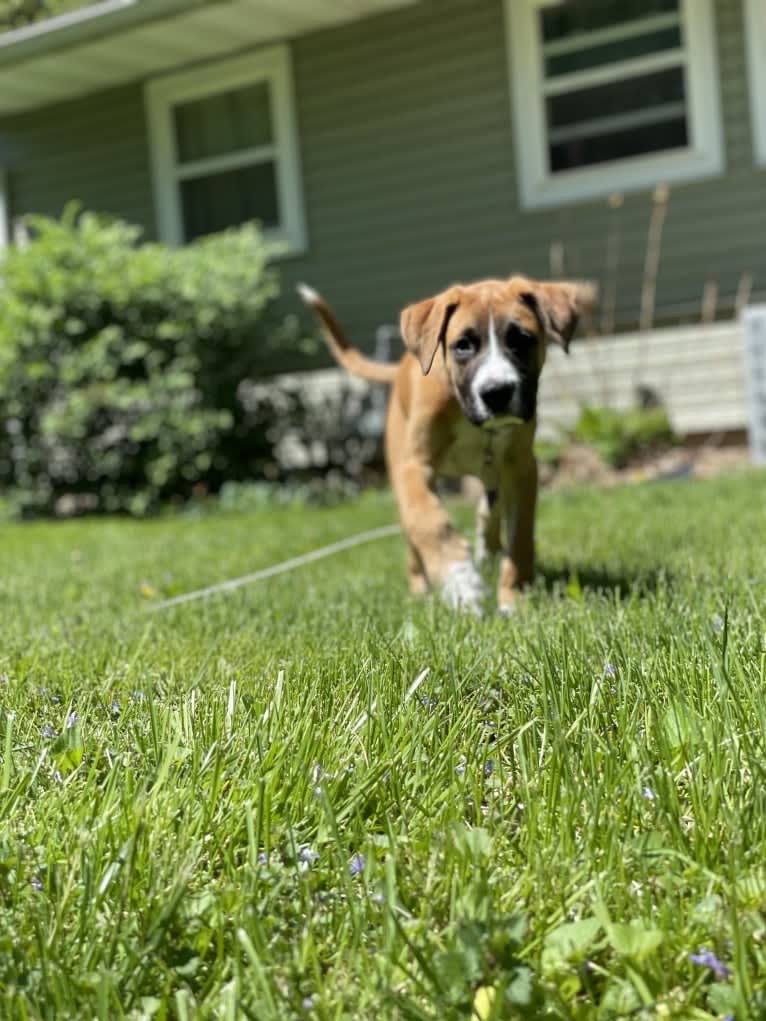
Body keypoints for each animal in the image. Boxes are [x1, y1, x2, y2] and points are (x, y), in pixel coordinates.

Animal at [296, 275, 596, 612]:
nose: (496, 392)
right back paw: (420, 589)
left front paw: (514, 597)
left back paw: (488, 548)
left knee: (490, 503)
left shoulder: (521, 468)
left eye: (521, 339)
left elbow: (521, 538)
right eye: (462, 345)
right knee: (413, 539)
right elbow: (429, 521)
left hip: (492, 470)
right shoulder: (414, 467)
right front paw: (461, 581)